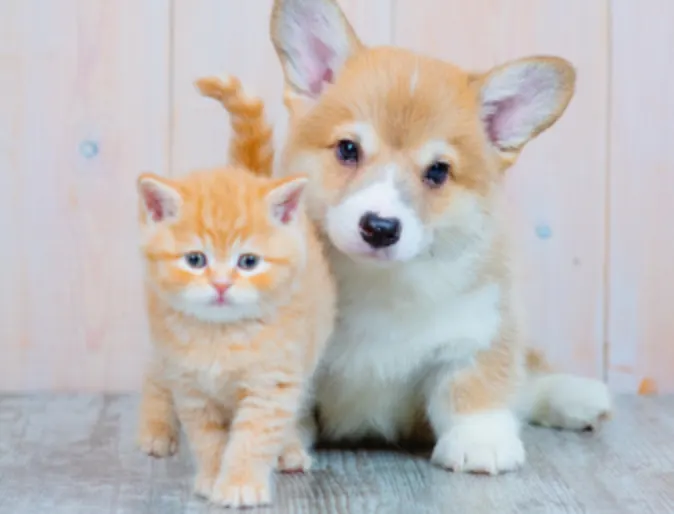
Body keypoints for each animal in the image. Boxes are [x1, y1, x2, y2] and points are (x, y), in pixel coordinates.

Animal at [134, 74, 334, 506]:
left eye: (248, 262)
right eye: (196, 260)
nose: (222, 284)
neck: (222, 337)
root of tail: (247, 172)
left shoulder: (273, 380)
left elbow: (254, 436)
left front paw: (241, 483)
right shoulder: (190, 385)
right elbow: (208, 438)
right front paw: (212, 476)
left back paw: (289, 450)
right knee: (155, 373)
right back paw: (156, 430)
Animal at [266, 0, 608, 474]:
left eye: (438, 172)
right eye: (348, 149)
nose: (380, 227)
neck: (380, 285)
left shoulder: (478, 327)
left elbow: (477, 386)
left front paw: (481, 441)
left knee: (528, 379)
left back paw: (578, 396)